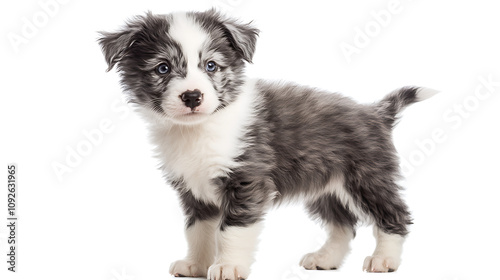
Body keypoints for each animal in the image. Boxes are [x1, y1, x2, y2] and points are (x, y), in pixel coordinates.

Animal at [97, 9, 434, 280]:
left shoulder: (247, 179)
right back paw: (325, 258)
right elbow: (198, 230)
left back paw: (384, 259)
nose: (192, 96)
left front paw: (227, 266)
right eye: (163, 68)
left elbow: (232, 229)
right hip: (325, 185)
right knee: (342, 224)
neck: (198, 130)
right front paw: (196, 265)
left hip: (367, 177)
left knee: (394, 214)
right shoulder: (193, 190)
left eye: (211, 66)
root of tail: (375, 111)